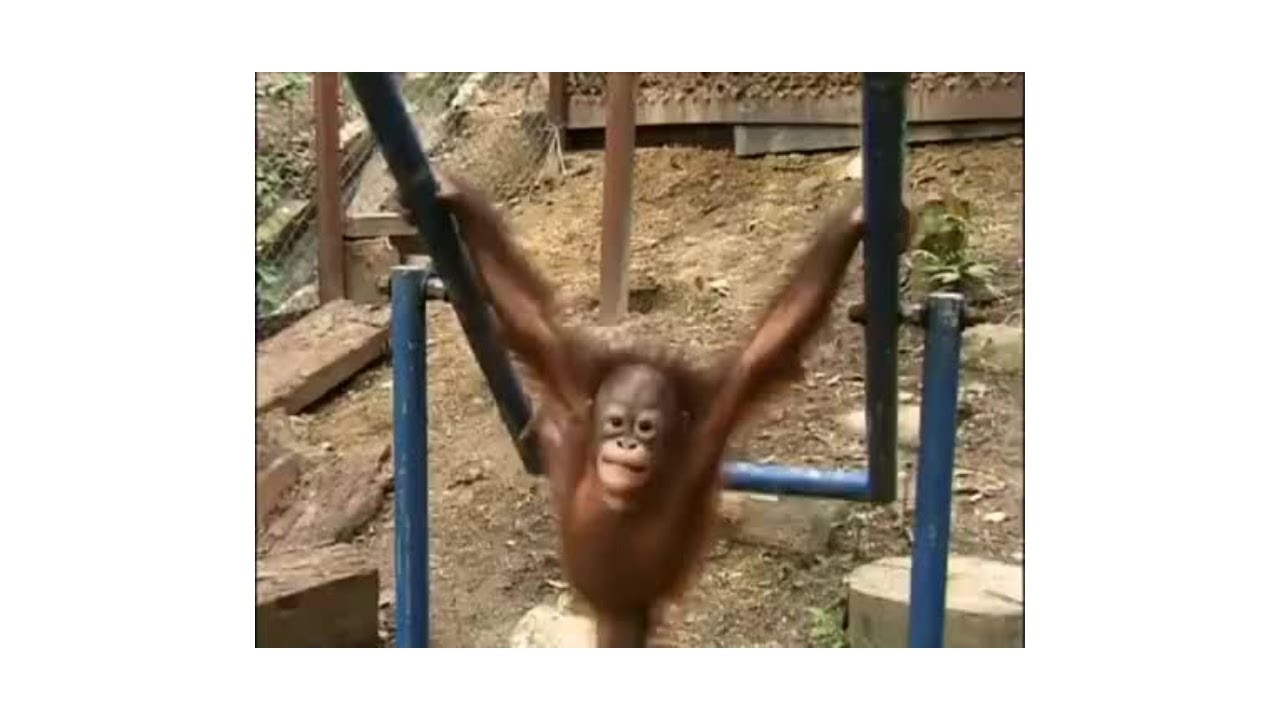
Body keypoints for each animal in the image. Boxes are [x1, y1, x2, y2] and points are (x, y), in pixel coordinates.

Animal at [423, 170, 911, 647]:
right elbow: (528, 318)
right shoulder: (575, 394)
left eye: (645, 428)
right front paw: (455, 196)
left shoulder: (708, 427)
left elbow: (771, 341)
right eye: (615, 422)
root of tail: (615, 614)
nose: (625, 444)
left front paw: (858, 220)